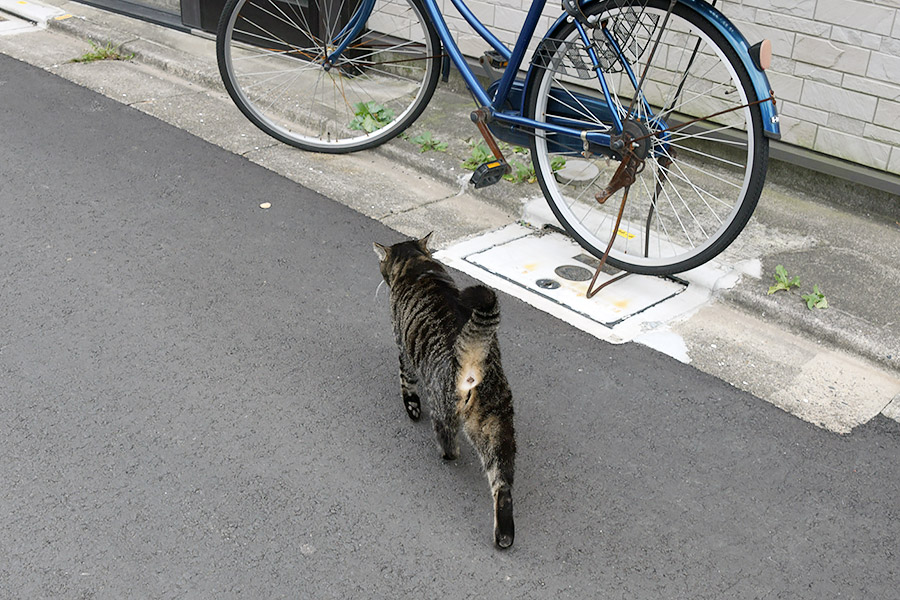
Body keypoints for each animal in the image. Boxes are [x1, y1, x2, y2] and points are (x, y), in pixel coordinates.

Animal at [370, 233, 512, 548]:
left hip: (442, 407)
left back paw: (445, 454)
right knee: (502, 482)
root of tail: (472, 359)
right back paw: (505, 533)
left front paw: (411, 407)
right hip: (496, 424)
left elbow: (406, 382)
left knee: (451, 444)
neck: (417, 265)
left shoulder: (403, 350)